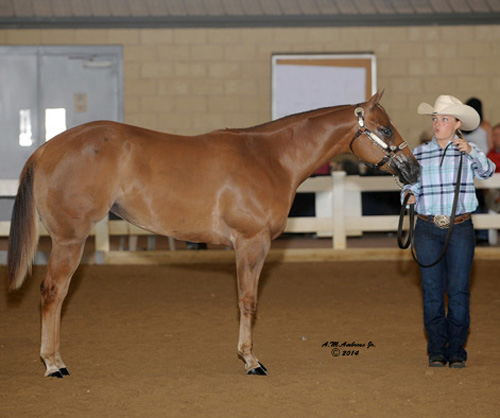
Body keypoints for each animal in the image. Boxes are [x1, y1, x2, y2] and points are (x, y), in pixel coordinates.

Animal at [9, 92, 420, 378]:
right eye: (385, 129)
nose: (413, 169)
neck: (271, 158)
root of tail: (46, 149)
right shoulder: (252, 244)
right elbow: (248, 301)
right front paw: (251, 361)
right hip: (70, 241)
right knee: (53, 293)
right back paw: (53, 364)